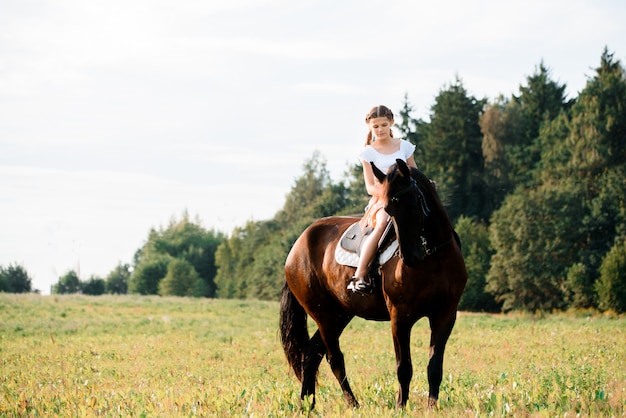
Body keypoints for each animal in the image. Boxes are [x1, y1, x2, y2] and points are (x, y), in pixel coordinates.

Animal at [280, 158, 466, 408]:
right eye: (388, 209)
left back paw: (306, 405)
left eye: (411, 202)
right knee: (334, 358)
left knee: (311, 354)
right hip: (322, 313)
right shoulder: (400, 316)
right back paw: (352, 404)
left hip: (340, 314)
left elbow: (434, 367)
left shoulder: (445, 314)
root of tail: (297, 246)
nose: (410, 257)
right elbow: (404, 367)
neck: (434, 258)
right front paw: (400, 407)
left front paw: (431, 408)